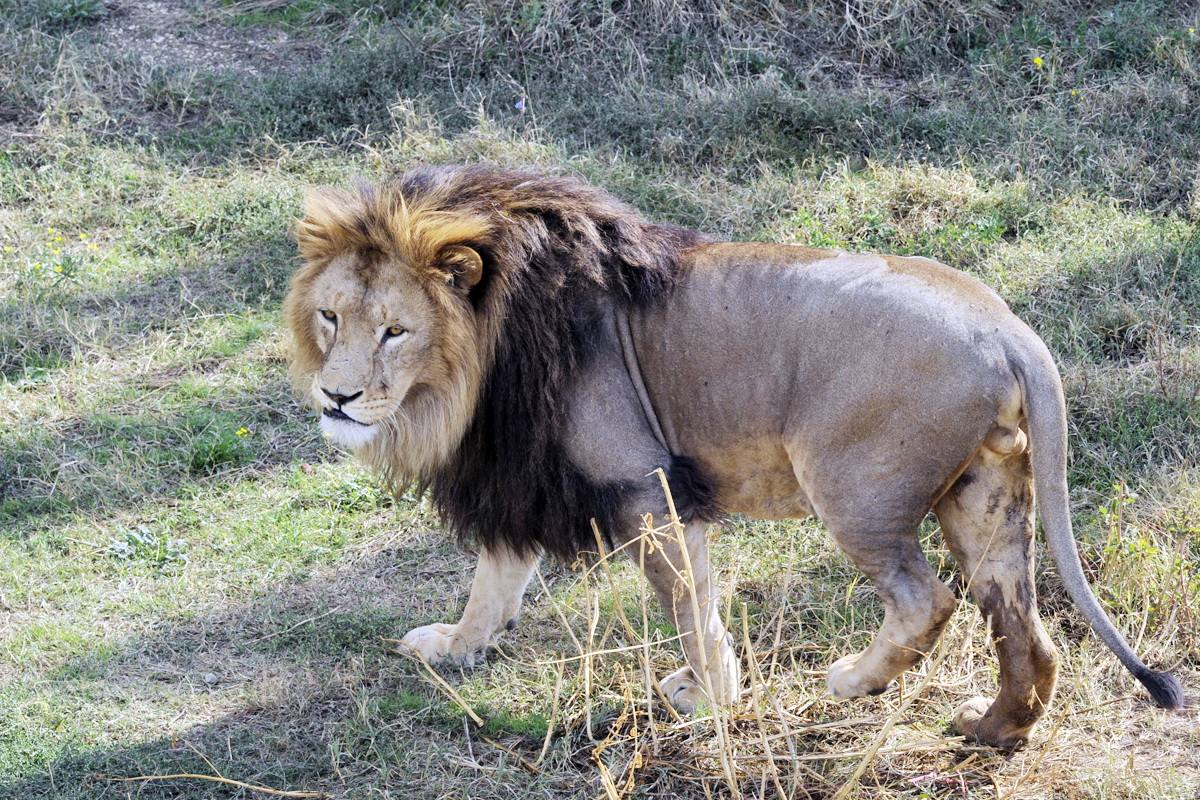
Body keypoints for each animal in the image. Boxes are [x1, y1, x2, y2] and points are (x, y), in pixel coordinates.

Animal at [285, 164, 1185, 753]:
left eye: (395, 330)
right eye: (330, 317)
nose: (336, 397)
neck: (476, 363)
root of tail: (1006, 324)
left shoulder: (643, 485)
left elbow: (691, 608)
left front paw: (707, 696)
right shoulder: (531, 479)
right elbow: (494, 584)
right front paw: (455, 648)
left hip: (853, 489)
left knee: (925, 599)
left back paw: (853, 682)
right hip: (983, 494)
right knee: (1026, 632)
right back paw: (988, 731)